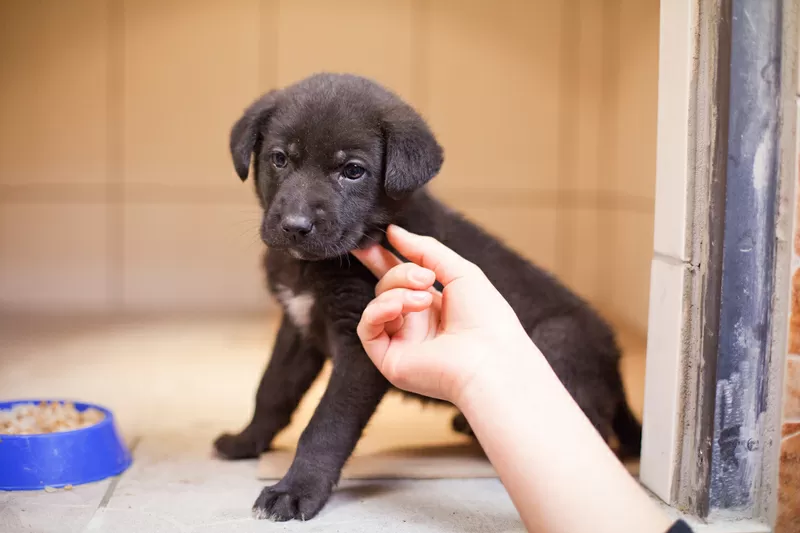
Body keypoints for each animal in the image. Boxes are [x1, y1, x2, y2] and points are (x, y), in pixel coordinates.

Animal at [216, 72, 640, 520]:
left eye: (353, 171)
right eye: (279, 159)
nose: (295, 226)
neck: (313, 267)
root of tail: (616, 364)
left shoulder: (360, 345)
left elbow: (326, 424)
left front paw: (296, 489)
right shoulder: (298, 328)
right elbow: (272, 389)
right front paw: (247, 441)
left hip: (560, 340)